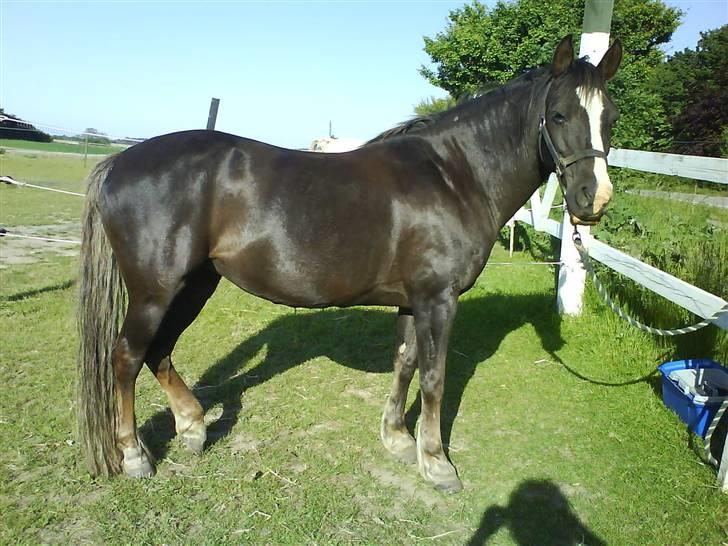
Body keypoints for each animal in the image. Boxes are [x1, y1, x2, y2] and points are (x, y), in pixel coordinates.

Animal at [79, 36, 624, 490]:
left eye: (610, 117)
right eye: (558, 115)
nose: (593, 199)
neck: (453, 175)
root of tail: (119, 162)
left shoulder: (414, 301)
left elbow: (406, 363)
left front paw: (398, 439)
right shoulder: (439, 299)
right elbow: (434, 376)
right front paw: (437, 463)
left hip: (194, 285)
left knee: (159, 351)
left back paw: (192, 427)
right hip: (155, 291)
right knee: (126, 357)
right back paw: (135, 456)